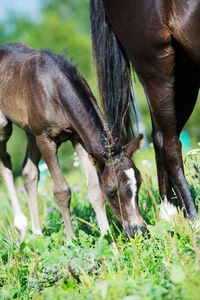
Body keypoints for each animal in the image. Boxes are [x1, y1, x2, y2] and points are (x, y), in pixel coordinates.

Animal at [0, 42, 145, 240]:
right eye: (111, 190)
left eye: (140, 182)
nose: (139, 231)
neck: (52, 86)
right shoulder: (45, 139)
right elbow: (61, 191)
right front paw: (70, 240)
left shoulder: (78, 138)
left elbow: (94, 190)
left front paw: (107, 238)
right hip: (5, 126)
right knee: (5, 163)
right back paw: (22, 227)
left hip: (30, 131)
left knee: (29, 172)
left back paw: (37, 234)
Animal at [90, 0, 200, 224]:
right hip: (155, 62)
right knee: (168, 144)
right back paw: (192, 219)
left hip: (185, 70)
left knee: (160, 137)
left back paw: (170, 213)